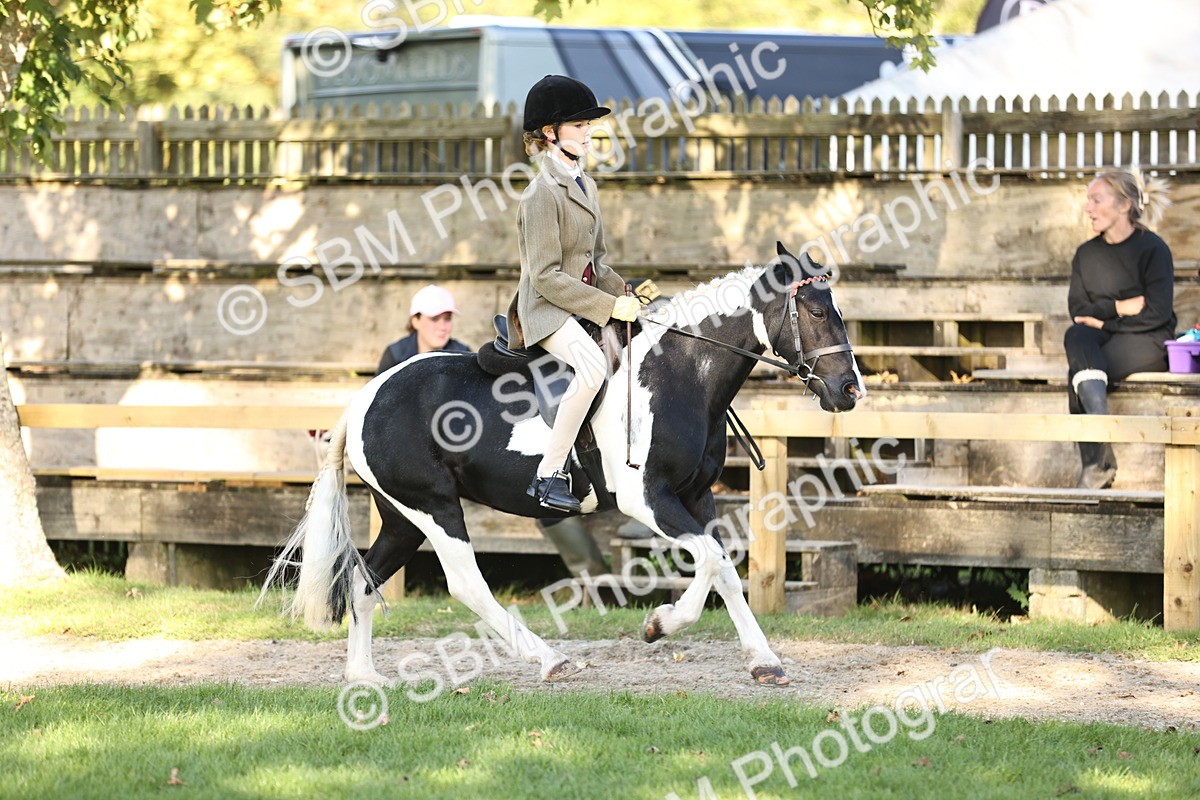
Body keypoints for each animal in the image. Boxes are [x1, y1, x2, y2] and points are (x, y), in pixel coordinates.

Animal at [261, 242, 864, 688]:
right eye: (815, 311)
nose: (849, 390)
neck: (679, 372)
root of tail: (367, 396)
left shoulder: (697, 496)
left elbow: (725, 569)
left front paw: (763, 661)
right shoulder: (649, 500)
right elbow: (712, 560)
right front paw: (659, 625)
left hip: (401, 518)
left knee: (363, 583)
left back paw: (364, 676)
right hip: (433, 508)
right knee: (466, 584)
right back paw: (550, 659)